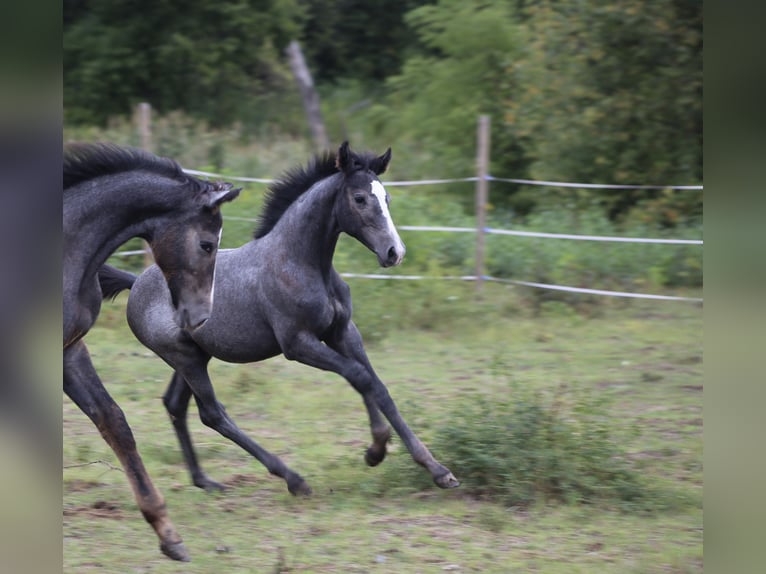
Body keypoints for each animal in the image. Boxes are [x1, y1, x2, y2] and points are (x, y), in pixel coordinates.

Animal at [100, 142, 462, 506]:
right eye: (359, 198)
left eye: (386, 197)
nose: (394, 252)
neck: (301, 263)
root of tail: (136, 282)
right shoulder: (297, 343)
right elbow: (360, 377)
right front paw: (377, 449)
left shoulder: (344, 333)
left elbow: (376, 385)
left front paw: (434, 469)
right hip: (184, 357)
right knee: (212, 413)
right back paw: (293, 479)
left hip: (195, 355)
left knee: (176, 405)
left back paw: (205, 481)